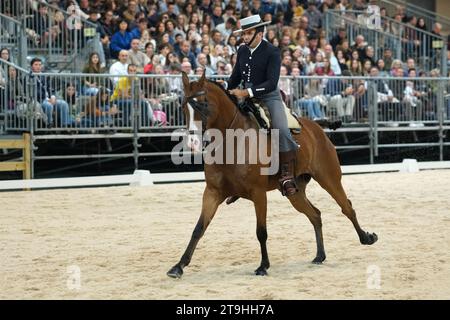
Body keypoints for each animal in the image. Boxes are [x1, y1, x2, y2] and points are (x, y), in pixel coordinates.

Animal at [167, 72, 378, 278]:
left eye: (203, 103)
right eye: (183, 106)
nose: (192, 143)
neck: (232, 141)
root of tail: (316, 127)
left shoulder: (258, 193)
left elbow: (261, 231)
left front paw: (263, 266)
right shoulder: (212, 193)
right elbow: (198, 229)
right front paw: (178, 266)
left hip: (330, 179)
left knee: (347, 208)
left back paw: (367, 238)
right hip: (295, 192)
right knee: (315, 215)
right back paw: (320, 255)